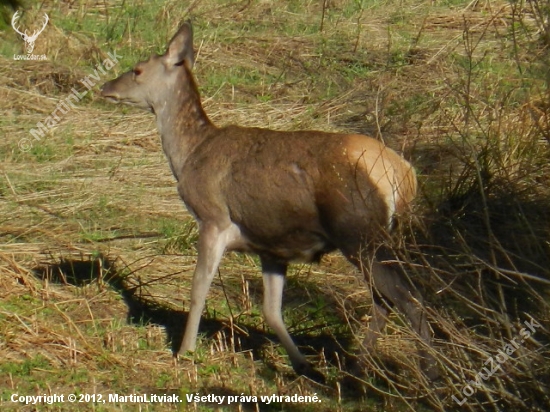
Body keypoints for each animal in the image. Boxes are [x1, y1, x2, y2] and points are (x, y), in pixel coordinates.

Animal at [100, 20, 440, 380]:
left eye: (137, 70)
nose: (106, 86)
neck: (191, 154)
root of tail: (405, 175)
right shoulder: (271, 247)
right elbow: (271, 310)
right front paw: (303, 364)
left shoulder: (213, 218)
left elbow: (198, 288)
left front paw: (184, 351)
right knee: (384, 300)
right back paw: (358, 368)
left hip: (360, 232)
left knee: (409, 299)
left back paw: (427, 373)